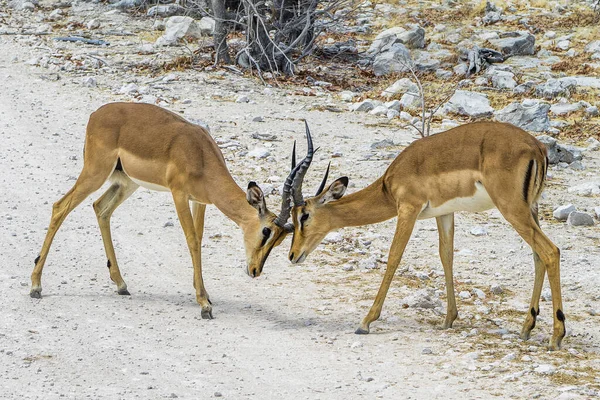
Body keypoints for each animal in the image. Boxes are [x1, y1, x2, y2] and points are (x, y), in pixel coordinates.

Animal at [30, 102, 308, 318]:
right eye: (266, 231)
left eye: (281, 238)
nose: (255, 271)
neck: (200, 154)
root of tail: (95, 114)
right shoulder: (179, 195)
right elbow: (192, 241)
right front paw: (204, 305)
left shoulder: (200, 201)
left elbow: (199, 239)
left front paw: (205, 295)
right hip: (95, 172)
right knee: (60, 206)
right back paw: (35, 287)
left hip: (126, 182)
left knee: (100, 208)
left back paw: (121, 284)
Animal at [288, 122, 564, 350]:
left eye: (304, 215)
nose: (292, 255)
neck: (388, 185)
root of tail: (537, 147)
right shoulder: (444, 213)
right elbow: (446, 256)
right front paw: (449, 319)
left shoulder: (408, 210)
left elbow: (394, 257)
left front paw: (365, 322)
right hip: (530, 209)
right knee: (538, 256)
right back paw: (527, 327)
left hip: (512, 209)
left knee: (551, 251)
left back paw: (556, 336)